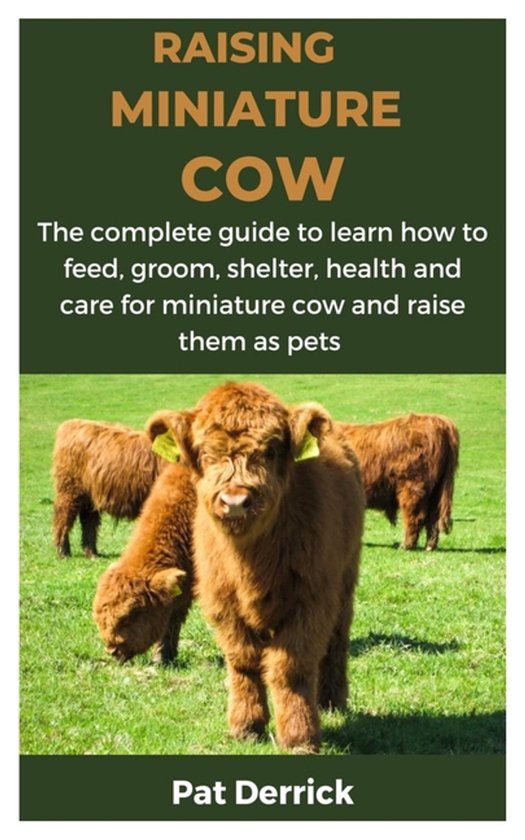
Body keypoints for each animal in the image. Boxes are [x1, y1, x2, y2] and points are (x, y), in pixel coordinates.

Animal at [52, 419, 166, 558]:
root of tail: (71, 423)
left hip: (89, 494)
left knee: (88, 520)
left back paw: (92, 553)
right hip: (70, 489)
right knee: (64, 516)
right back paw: (63, 552)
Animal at [147, 381, 364, 752]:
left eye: (272, 450)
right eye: (205, 453)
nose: (235, 501)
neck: (251, 562)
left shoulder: (311, 602)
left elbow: (290, 667)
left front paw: (299, 736)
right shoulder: (223, 603)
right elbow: (243, 660)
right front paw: (246, 726)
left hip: (345, 580)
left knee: (337, 639)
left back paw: (330, 701)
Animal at [336, 413, 459, 551]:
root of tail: (437, 420)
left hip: (413, 485)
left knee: (415, 516)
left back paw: (406, 545)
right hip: (436, 490)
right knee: (433, 518)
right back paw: (429, 546)